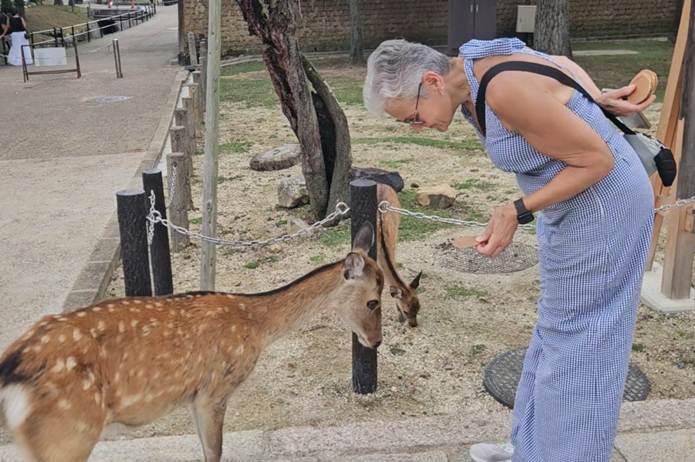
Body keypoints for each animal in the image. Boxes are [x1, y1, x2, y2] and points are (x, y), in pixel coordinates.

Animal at [0, 226, 383, 462]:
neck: (256, 324)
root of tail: (11, 369)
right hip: (68, 433)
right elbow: (214, 452)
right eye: (374, 301)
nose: (376, 341)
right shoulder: (213, 390)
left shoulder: (195, 397)